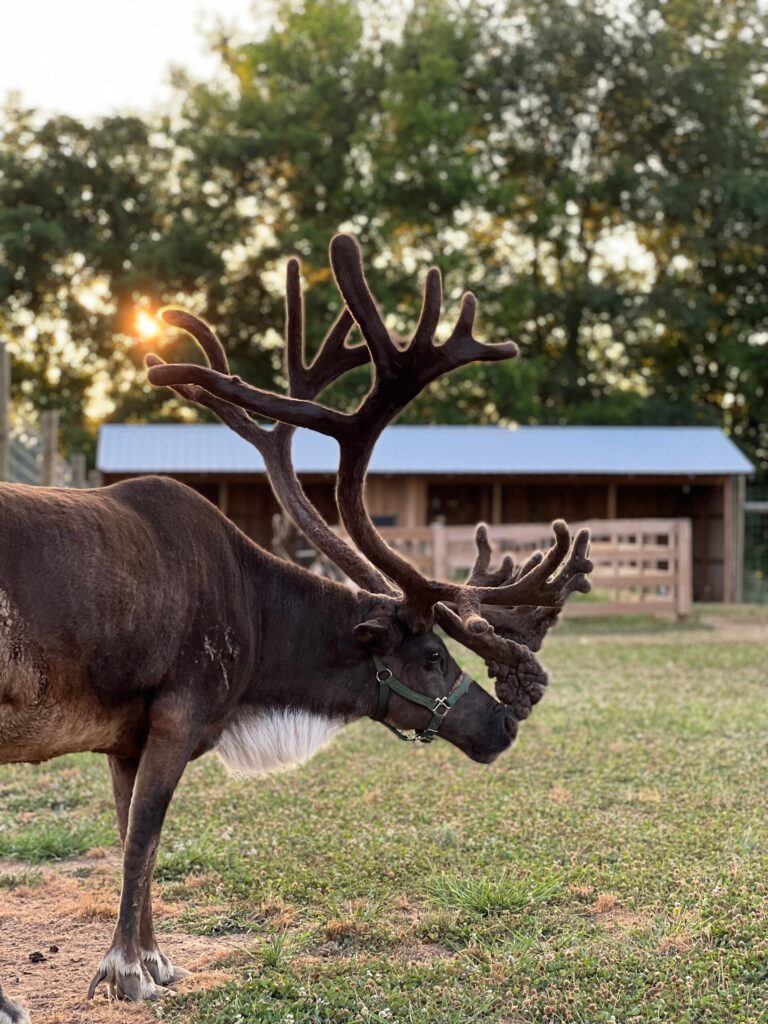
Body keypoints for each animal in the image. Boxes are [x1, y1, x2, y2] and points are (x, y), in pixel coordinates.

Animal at [0, 235, 592, 1024]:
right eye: (433, 654)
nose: (502, 724)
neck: (257, 626)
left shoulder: (126, 738)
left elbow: (136, 840)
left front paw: (156, 960)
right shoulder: (179, 714)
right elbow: (140, 844)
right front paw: (127, 970)